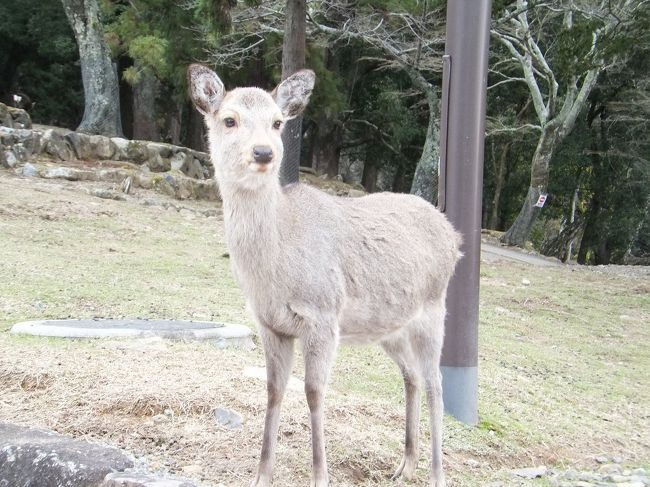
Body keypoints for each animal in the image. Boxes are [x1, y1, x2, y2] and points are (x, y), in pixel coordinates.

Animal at [187, 64, 462, 487]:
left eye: (277, 122)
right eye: (229, 119)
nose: (263, 152)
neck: (272, 272)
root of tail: (454, 236)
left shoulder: (322, 316)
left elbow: (314, 392)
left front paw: (320, 475)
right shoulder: (270, 324)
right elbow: (273, 390)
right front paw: (261, 474)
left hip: (433, 310)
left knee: (436, 383)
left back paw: (435, 474)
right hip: (389, 328)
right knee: (412, 376)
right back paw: (405, 465)